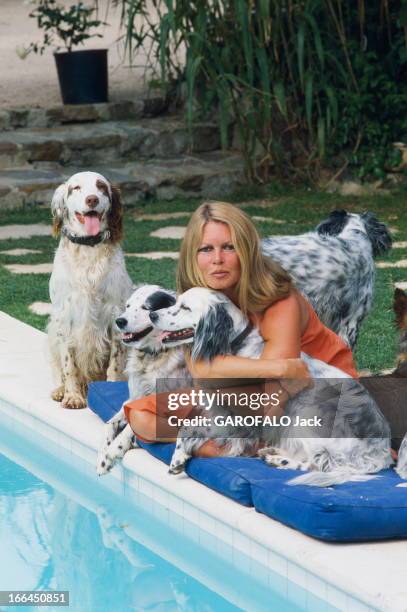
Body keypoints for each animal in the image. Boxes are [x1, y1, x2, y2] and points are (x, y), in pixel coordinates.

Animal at [48, 172, 132, 408]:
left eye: (101, 187)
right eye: (75, 188)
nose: (92, 199)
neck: (88, 248)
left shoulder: (116, 316)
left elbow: (114, 364)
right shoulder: (64, 317)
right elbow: (69, 365)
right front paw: (72, 396)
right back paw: (60, 390)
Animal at [97, 284, 190, 476]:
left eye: (146, 308)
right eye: (128, 306)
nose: (119, 321)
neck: (152, 356)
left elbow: (132, 426)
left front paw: (115, 448)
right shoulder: (133, 397)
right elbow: (109, 424)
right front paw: (103, 456)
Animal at [151, 288, 394, 488]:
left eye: (185, 307)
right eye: (176, 302)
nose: (153, 315)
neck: (237, 347)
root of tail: (381, 452)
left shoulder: (243, 420)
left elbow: (190, 427)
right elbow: (188, 427)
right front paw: (179, 457)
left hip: (308, 414)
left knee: (320, 464)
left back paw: (278, 460)